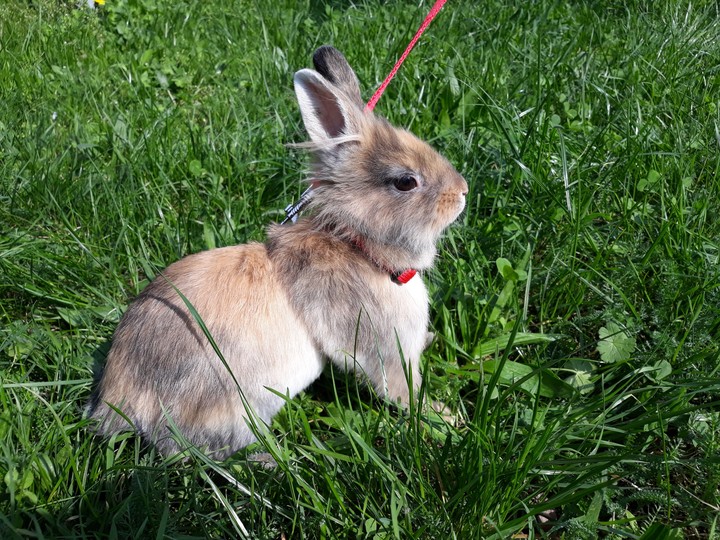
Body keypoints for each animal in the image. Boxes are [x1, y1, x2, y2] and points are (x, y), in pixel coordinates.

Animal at [87, 45, 468, 460]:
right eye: (405, 182)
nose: (462, 191)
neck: (357, 245)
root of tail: (119, 404)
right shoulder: (381, 346)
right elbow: (400, 389)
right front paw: (448, 420)